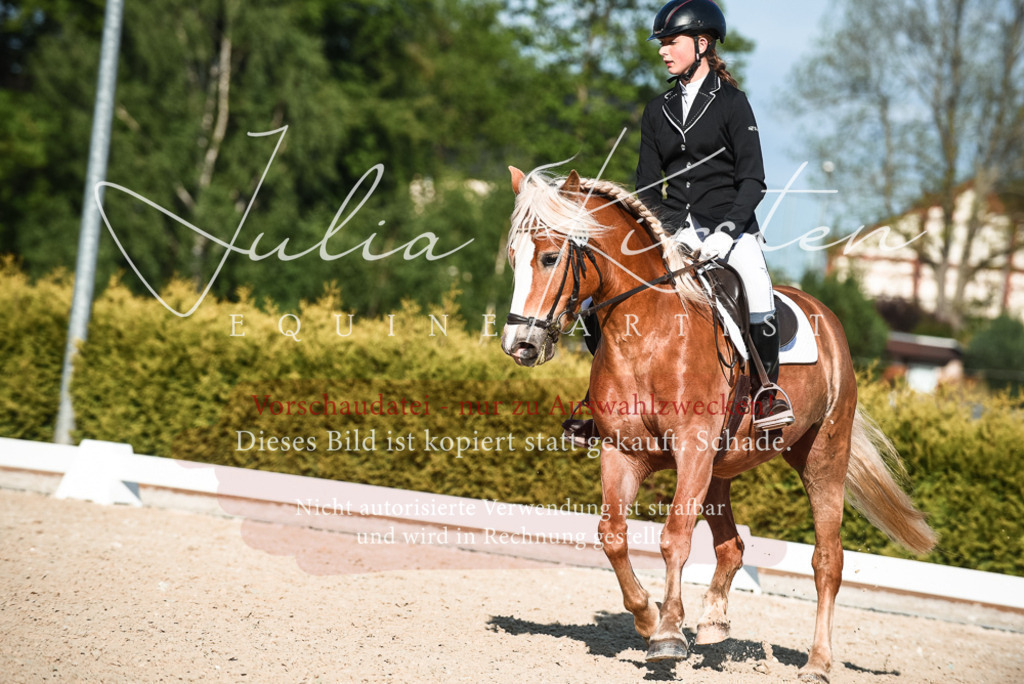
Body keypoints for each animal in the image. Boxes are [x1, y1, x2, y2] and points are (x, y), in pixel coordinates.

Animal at [499, 166, 936, 682]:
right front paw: (648, 617)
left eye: (550, 256)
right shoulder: (621, 452)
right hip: (718, 471)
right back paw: (713, 622)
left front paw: (668, 634)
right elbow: (612, 535)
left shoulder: (692, 448)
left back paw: (817, 662)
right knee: (732, 547)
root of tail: (826, 317)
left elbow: (674, 539)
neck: (648, 335)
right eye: (513, 257)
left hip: (823, 455)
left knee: (827, 559)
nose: (519, 344)